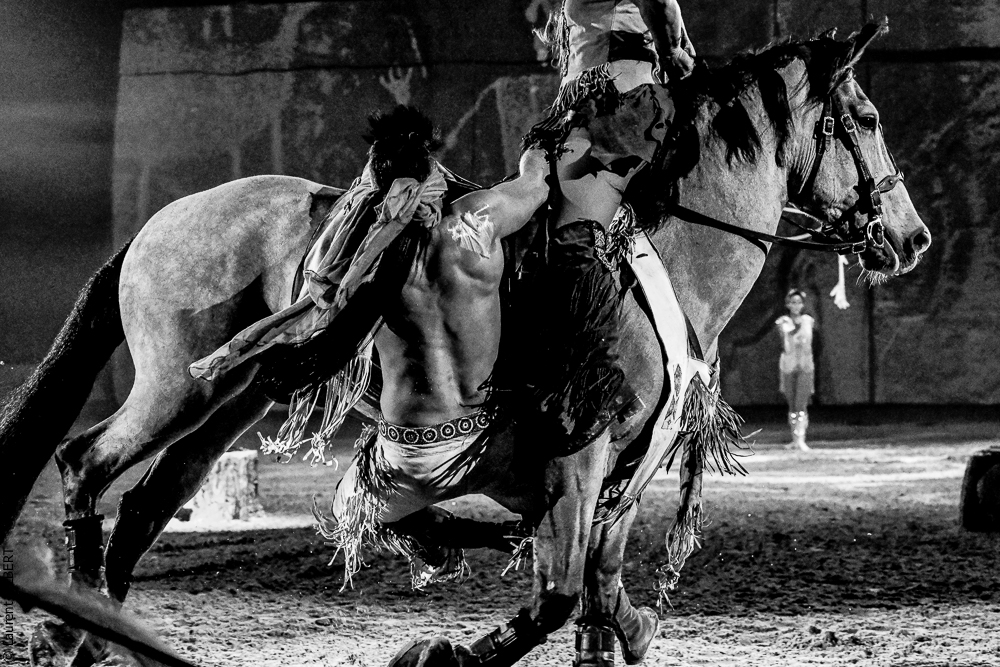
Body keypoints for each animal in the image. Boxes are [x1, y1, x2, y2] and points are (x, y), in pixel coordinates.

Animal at [0, 24, 929, 667]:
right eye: (869, 116)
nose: (912, 236)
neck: (663, 250)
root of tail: (159, 221)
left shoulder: (622, 476)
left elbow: (599, 598)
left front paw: (623, 622)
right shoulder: (578, 457)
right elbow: (558, 597)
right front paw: (444, 649)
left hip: (235, 397)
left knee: (147, 503)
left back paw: (100, 629)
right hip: (175, 385)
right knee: (86, 462)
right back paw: (69, 625)